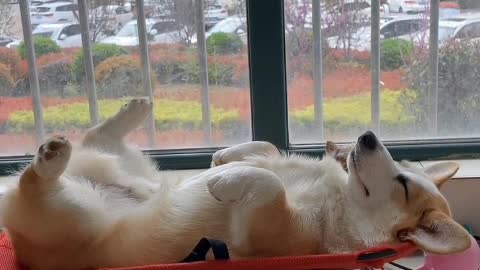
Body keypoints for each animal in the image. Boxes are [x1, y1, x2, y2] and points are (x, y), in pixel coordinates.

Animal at [0, 99, 470, 270]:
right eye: (403, 168)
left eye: (403, 184)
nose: (368, 136)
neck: (339, 194)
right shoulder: (279, 159)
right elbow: (267, 150)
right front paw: (225, 158)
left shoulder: (266, 230)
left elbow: (268, 183)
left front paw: (224, 181)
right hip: (131, 165)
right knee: (98, 140)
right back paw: (134, 110)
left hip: (71, 213)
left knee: (34, 183)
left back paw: (50, 157)